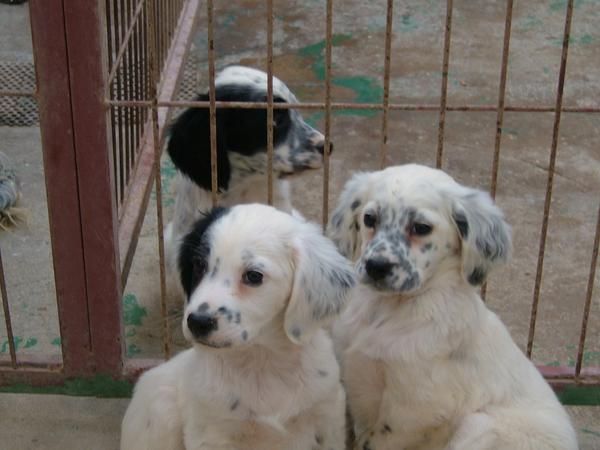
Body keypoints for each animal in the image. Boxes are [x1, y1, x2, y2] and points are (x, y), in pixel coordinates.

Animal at [122, 203, 356, 450]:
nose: (197, 322)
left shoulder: (326, 418)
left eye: (253, 276)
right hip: (159, 411)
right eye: (199, 265)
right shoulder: (211, 432)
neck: (260, 363)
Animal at [328, 164, 576, 450]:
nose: (376, 267)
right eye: (369, 218)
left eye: (421, 227)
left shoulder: (413, 408)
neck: (386, 310)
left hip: (481, 426)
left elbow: (376, 441)